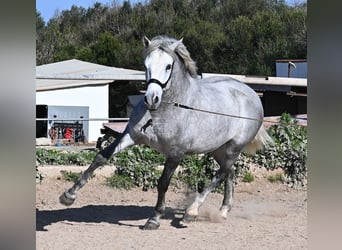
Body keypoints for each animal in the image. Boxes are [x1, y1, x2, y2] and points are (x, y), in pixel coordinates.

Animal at [59, 35, 272, 230]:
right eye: (146, 65)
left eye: (169, 66)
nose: (151, 98)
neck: (165, 110)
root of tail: (252, 94)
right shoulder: (131, 136)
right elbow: (101, 157)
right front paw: (68, 196)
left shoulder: (176, 153)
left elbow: (162, 183)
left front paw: (154, 219)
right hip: (218, 148)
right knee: (229, 172)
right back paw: (223, 211)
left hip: (234, 147)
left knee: (219, 175)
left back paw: (191, 212)